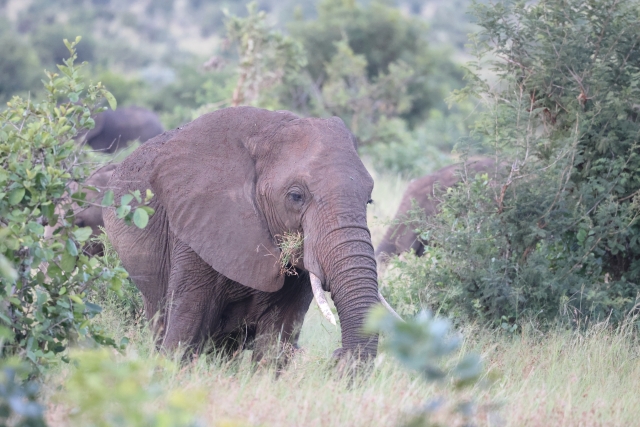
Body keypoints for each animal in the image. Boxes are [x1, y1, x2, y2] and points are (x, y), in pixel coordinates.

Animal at [102, 106, 398, 364]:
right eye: (296, 196)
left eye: (369, 200)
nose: (337, 356)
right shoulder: (197, 225)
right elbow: (184, 331)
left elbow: (275, 342)